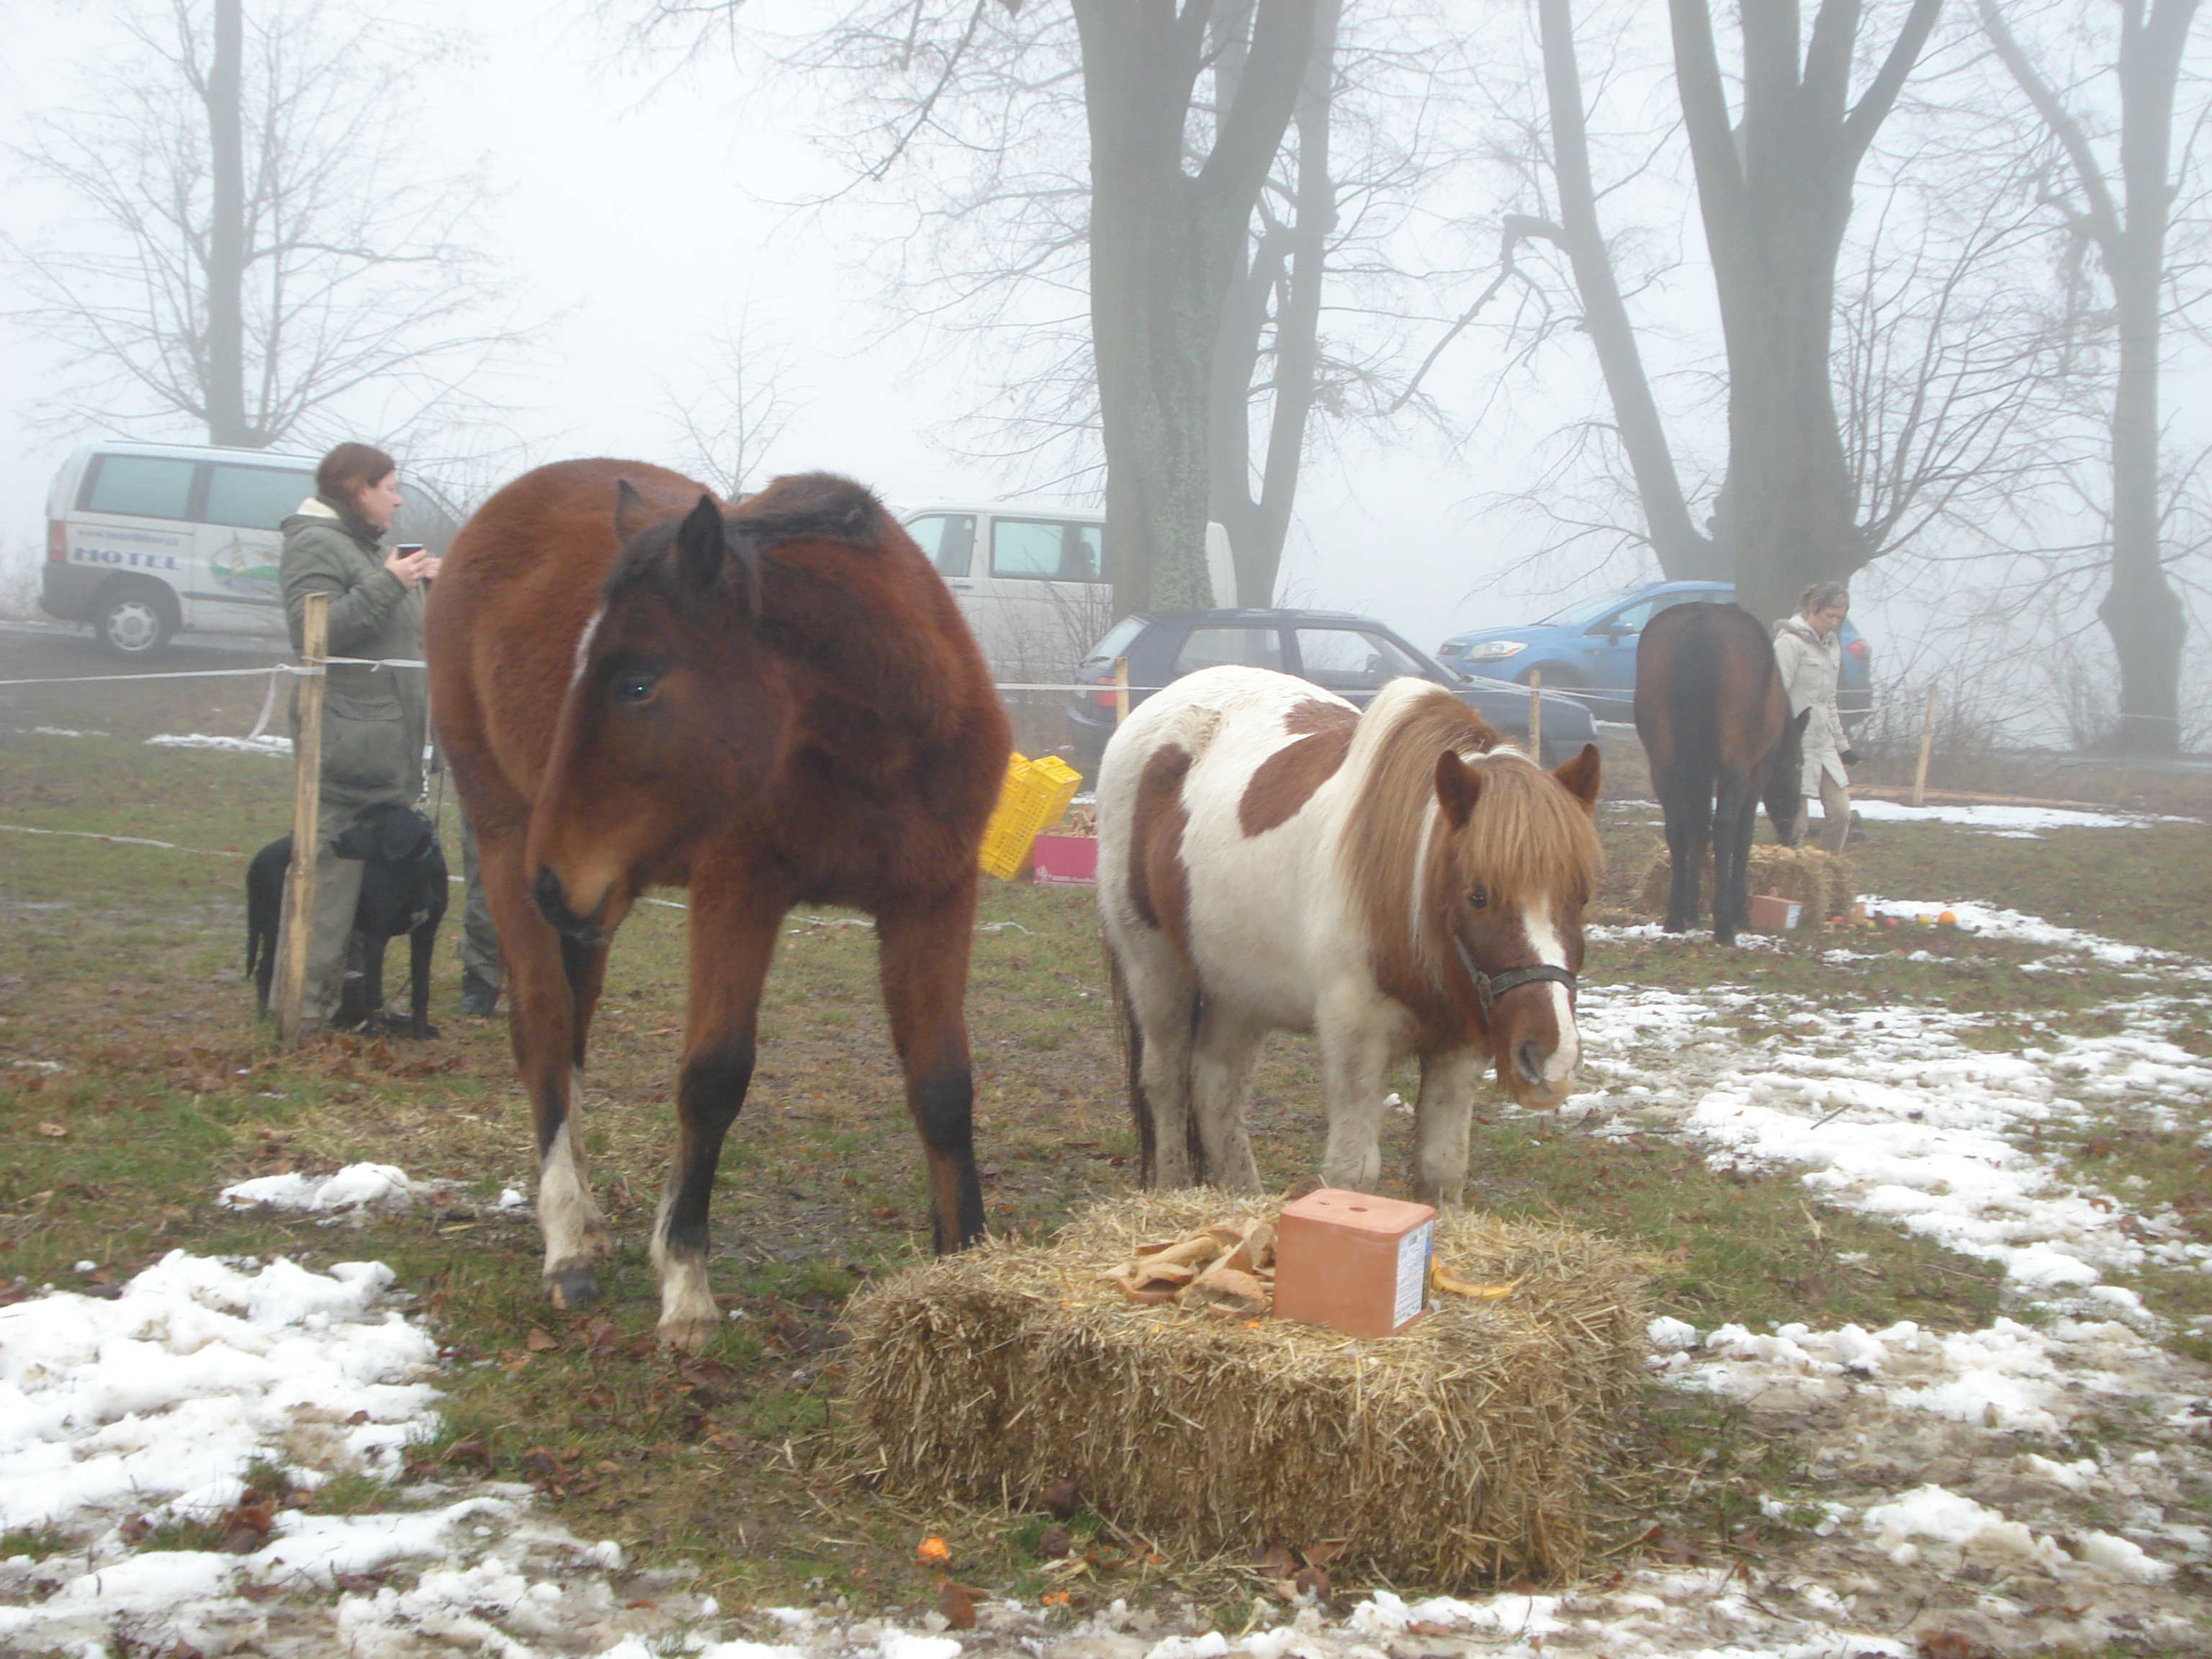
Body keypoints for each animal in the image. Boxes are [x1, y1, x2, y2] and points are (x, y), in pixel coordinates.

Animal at [246, 805, 449, 1039]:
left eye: (369, 824)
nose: (334, 841)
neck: (415, 870)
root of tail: (257, 858)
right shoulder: (376, 936)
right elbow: (374, 992)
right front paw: (376, 1032)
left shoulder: (425, 934)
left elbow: (421, 988)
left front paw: (421, 1031)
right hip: (276, 924)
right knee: (264, 971)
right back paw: (265, 1019)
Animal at [424, 457, 1012, 1354]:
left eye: (637, 681)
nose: (552, 878)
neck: (878, 744)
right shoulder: (739, 894)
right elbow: (713, 1079)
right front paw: (687, 1288)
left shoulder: (935, 899)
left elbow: (944, 1088)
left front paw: (967, 1267)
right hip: (507, 841)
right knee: (545, 1030)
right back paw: (566, 1243)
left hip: (597, 910)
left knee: (575, 1027)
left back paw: (588, 1216)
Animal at [1097, 667, 1601, 1212]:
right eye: (1479, 895)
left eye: (1582, 896)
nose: (1551, 1058)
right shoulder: (1356, 1043)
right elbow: (1351, 1176)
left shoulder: (1459, 1048)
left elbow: (1442, 1172)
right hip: (1155, 973)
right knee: (1166, 1083)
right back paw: (1173, 1192)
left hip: (1239, 991)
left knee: (1216, 1089)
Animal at [1637, 606, 1804, 956]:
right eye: (1799, 764)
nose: (1791, 833)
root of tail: (1700, 624)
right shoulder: (1755, 774)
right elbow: (1741, 836)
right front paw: (1739, 911)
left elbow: (1697, 830)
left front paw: (1691, 907)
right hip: (1733, 765)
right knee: (1725, 828)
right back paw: (1725, 926)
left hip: (1664, 763)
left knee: (1680, 827)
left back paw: (1675, 916)